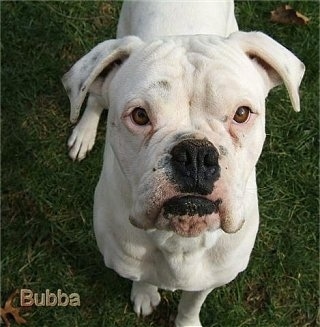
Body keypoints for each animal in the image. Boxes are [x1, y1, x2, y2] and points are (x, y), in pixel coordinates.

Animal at [62, 1, 304, 326]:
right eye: (140, 116)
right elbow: (143, 277)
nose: (195, 155)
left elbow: (191, 304)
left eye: (241, 113)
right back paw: (84, 130)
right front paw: (145, 294)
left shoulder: (210, 278)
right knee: (94, 96)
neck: (180, 239)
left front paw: (186, 320)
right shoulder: (128, 261)